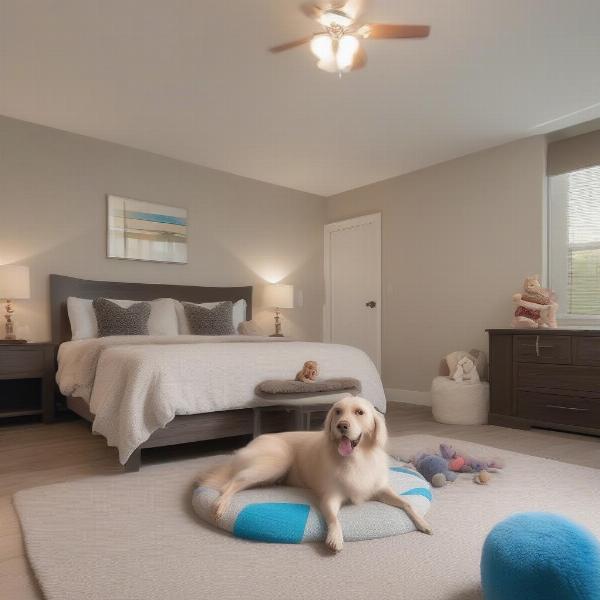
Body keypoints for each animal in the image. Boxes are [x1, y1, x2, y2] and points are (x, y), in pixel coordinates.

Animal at [199, 396, 434, 552]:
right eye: (338, 411)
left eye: (359, 412)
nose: (342, 426)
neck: (357, 458)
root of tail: (257, 439)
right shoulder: (330, 496)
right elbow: (333, 517)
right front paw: (335, 537)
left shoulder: (380, 489)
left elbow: (407, 503)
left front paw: (423, 523)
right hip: (275, 461)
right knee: (231, 483)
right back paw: (220, 504)